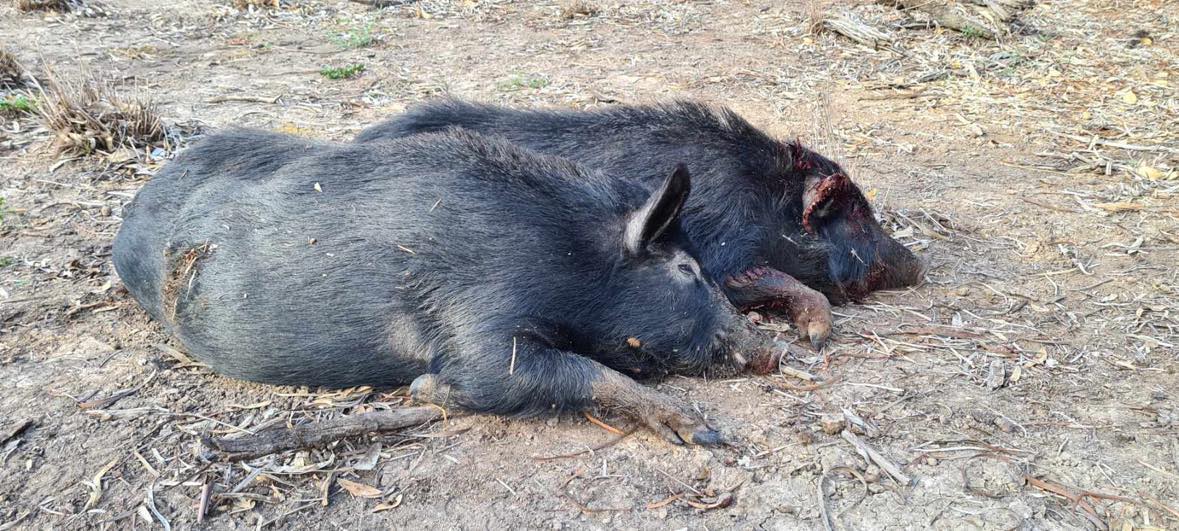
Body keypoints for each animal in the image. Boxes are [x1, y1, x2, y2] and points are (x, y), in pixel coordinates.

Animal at [113, 128, 785, 445]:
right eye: (686, 271)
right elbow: (554, 373)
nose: (774, 352)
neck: (567, 256)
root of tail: (136, 202)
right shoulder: (479, 320)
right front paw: (704, 433)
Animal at [356, 100, 925, 348]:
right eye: (857, 215)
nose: (920, 264)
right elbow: (782, 282)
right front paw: (817, 337)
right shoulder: (724, 254)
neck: (761, 202)